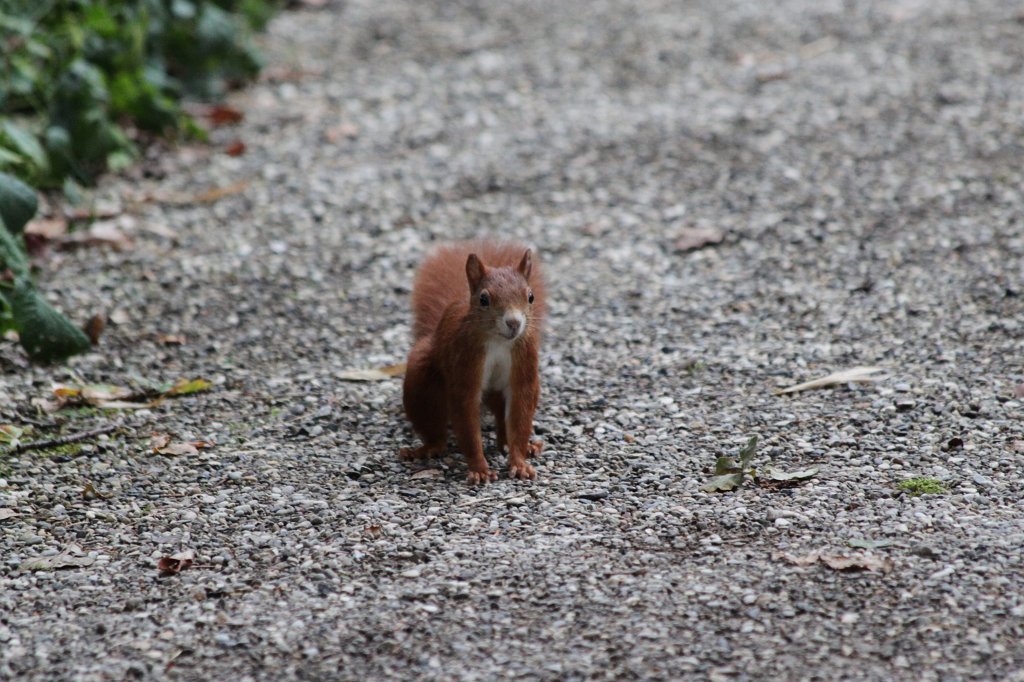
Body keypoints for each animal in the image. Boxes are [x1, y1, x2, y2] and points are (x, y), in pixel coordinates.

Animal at [400, 240, 545, 484]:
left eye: (531, 296)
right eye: (484, 299)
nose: (514, 323)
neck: (498, 341)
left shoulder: (524, 361)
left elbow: (520, 416)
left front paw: (519, 462)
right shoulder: (465, 364)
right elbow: (467, 420)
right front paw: (480, 469)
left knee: (503, 421)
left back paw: (522, 446)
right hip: (421, 381)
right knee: (432, 424)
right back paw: (426, 448)